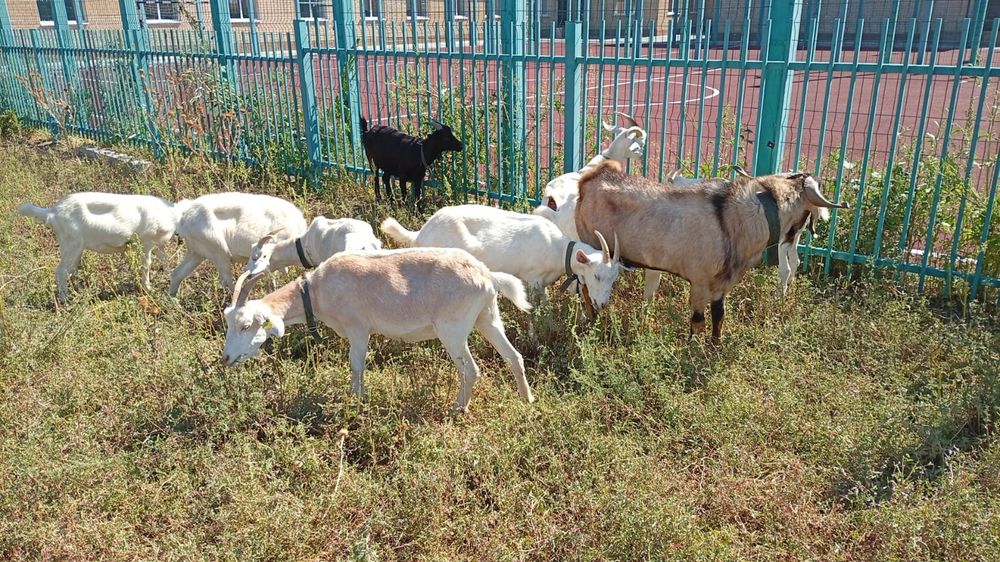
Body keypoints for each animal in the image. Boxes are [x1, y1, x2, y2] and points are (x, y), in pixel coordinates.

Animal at [17, 192, 177, 302]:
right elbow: (147, 264)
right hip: (70, 243)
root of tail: (51, 212)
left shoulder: (157, 245)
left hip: (76, 247)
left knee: (71, 270)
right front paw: (148, 288)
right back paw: (65, 299)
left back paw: (78, 291)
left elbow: (165, 259)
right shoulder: (146, 241)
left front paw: (168, 276)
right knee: (61, 271)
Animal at [168, 192, 307, 296]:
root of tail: (185, 214)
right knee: (226, 280)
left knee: (177, 273)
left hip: (197, 251)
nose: (248, 273)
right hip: (218, 250)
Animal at [221, 247, 534, 412]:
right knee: (514, 356)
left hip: (453, 329)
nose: (226, 358)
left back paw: (457, 408)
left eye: (245, 325)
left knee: (471, 369)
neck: (318, 291)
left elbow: (356, 365)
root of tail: (487, 275)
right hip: (487, 317)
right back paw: (526, 399)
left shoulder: (358, 327)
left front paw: (356, 402)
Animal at [380, 205, 623, 311]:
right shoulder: (532, 279)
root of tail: (420, 234)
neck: (558, 248)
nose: (602, 304)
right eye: (597, 275)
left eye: (614, 279)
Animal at [574, 161, 848, 342]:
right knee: (587, 289)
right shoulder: (700, 283)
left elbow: (719, 316)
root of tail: (588, 181)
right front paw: (692, 351)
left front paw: (715, 346)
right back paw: (592, 320)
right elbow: (698, 321)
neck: (734, 218)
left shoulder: (722, 284)